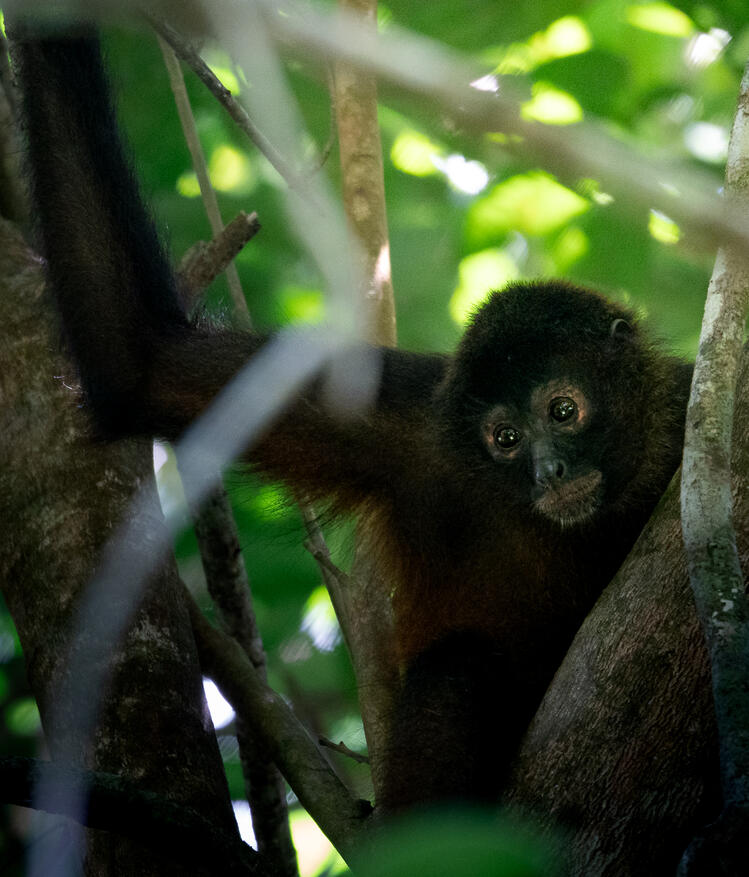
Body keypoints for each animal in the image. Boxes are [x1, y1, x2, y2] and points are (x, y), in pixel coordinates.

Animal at [13, 31, 693, 812]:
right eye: (506, 440)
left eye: (563, 410)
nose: (550, 469)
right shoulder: (411, 430)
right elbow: (142, 362)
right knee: (458, 673)